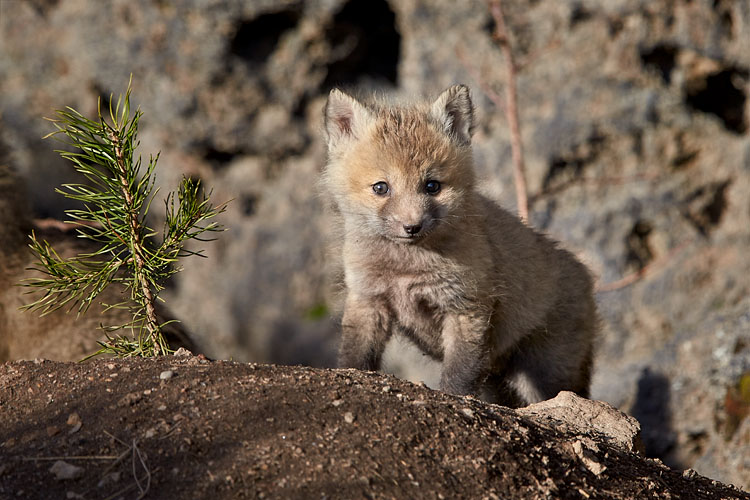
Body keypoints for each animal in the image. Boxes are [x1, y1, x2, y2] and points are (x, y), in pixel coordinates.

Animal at [324, 85, 600, 406]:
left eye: (432, 186)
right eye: (381, 187)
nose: (412, 227)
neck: (405, 268)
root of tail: (586, 278)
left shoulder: (466, 307)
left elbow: (459, 372)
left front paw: (453, 398)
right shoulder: (368, 298)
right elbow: (355, 355)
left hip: (546, 373)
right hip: (501, 381)